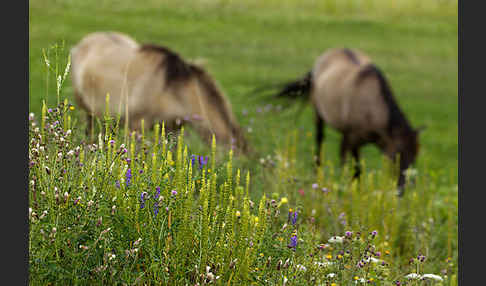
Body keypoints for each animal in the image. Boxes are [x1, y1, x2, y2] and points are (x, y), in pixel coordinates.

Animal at [274, 48, 422, 196]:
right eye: (397, 155)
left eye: (415, 157)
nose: (401, 190)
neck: (371, 108)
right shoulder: (353, 139)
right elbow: (356, 168)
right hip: (319, 113)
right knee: (320, 139)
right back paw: (318, 170)